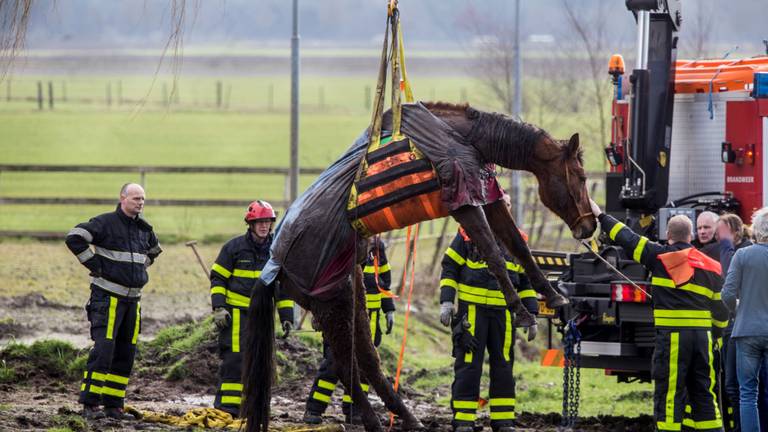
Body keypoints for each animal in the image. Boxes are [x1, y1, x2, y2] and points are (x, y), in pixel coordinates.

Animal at [243, 101, 596, 432]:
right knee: (345, 366)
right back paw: (375, 420)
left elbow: (517, 246)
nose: (590, 226)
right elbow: (494, 253)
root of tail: (274, 266)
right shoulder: (463, 199)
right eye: (581, 177)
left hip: (350, 290)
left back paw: (407, 417)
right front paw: (522, 312)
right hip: (332, 302)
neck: (462, 135)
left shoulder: (486, 194)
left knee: (366, 360)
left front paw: (553, 296)